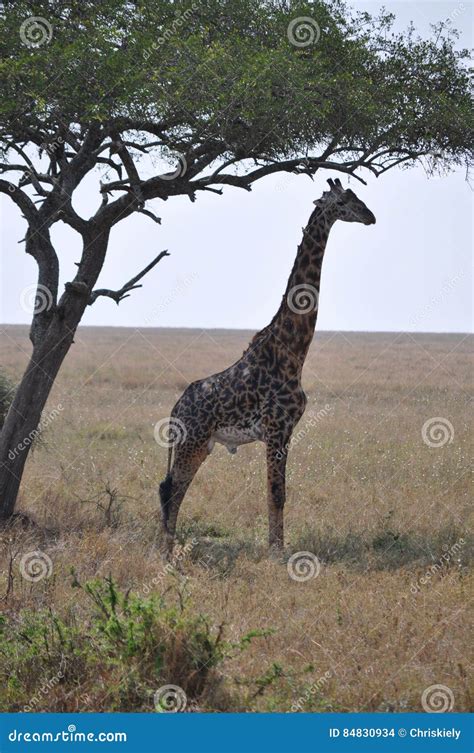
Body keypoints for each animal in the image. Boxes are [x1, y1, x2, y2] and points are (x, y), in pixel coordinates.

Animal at [158, 176, 374, 556]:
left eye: (357, 196)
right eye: (344, 202)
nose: (371, 216)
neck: (293, 352)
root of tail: (175, 409)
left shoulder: (286, 431)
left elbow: (279, 493)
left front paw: (277, 547)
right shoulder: (276, 428)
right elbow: (276, 494)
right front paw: (276, 552)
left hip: (197, 443)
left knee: (169, 487)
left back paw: (165, 547)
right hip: (193, 441)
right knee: (171, 489)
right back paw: (166, 553)